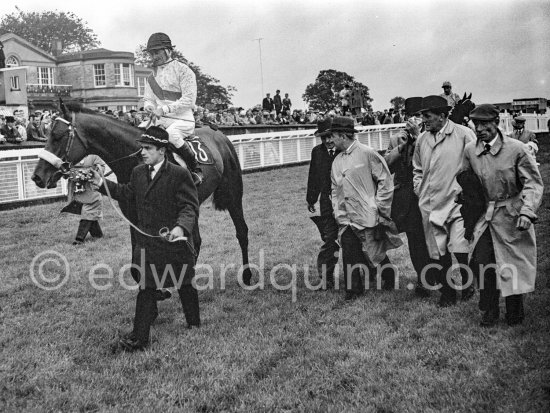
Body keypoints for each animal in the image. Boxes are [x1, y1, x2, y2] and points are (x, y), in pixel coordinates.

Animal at [31, 102, 253, 284]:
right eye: (48, 134)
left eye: (57, 136)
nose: (37, 177)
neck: (135, 157)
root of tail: (219, 134)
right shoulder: (134, 215)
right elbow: (138, 260)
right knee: (196, 241)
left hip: (233, 194)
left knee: (241, 231)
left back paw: (247, 275)